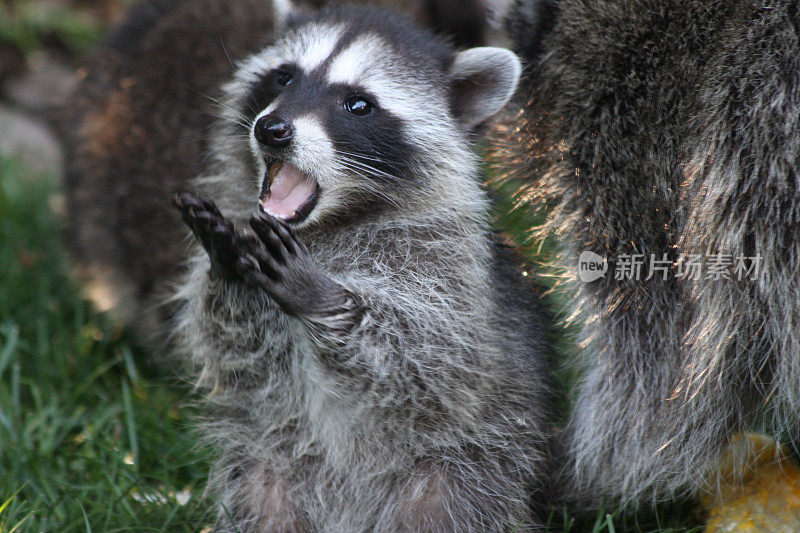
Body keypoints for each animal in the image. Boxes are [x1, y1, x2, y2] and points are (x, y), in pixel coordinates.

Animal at [170, 5, 552, 532]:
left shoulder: (450, 270)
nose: (272, 130)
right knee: (259, 499)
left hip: (464, 470)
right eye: (284, 77)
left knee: (451, 504)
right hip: (269, 466)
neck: (326, 223)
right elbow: (234, 350)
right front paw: (228, 269)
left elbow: (430, 360)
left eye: (358, 105)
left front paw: (325, 298)